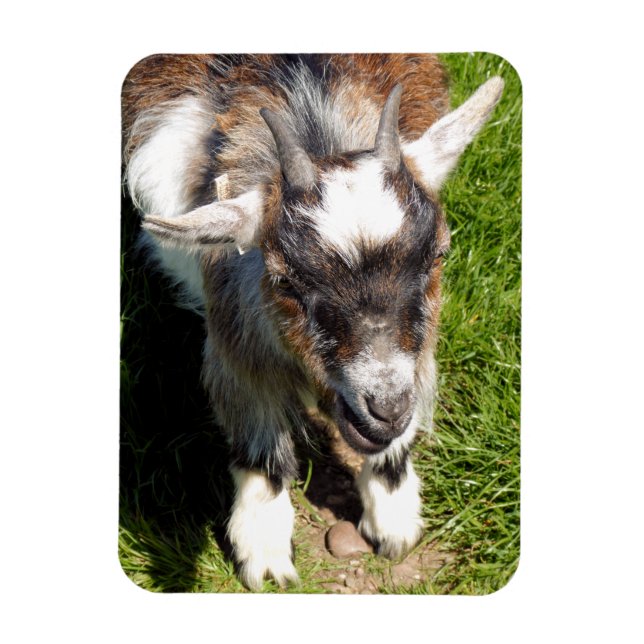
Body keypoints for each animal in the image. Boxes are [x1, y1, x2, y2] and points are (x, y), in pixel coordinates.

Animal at [122, 54, 503, 591]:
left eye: (438, 255)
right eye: (284, 279)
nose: (387, 407)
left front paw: (395, 518)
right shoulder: (238, 329)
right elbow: (260, 444)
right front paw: (263, 553)